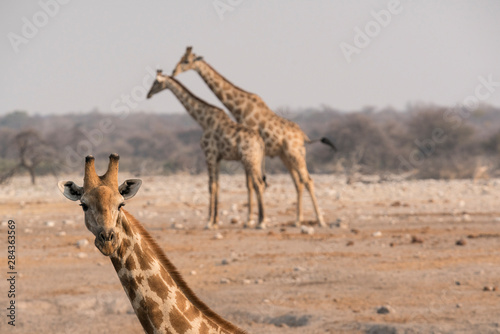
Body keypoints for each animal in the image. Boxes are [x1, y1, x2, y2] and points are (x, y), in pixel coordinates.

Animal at [146, 69, 268, 228]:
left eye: (156, 82)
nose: (148, 94)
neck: (204, 121)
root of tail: (260, 142)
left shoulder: (209, 155)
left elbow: (211, 186)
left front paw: (209, 222)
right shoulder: (217, 158)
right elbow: (217, 185)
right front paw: (215, 221)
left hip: (249, 159)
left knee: (258, 184)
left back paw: (261, 222)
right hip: (256, 160)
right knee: (260, 184)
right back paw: (259, 219)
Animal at [170, 47, 338, 227]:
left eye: (186, 61)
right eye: (180, 58)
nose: (174, 71)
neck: (239, 108)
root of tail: (303, 136)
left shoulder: (248, 152)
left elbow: (251, 184)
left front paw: (251, 220)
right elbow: (250, 184)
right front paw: (252, 219)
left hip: (295, 154)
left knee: (308, 180)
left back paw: (320, 220)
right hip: (285, 156)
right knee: (298, 182)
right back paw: (297, 220)